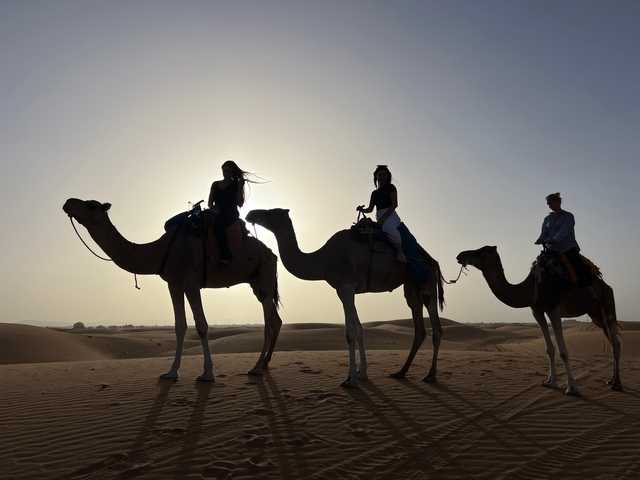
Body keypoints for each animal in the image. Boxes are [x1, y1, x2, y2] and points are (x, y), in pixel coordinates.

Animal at [63, 198, 282, 381]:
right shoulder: (174, 285)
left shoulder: (191, 283)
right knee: (276, 319)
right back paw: (264, 364)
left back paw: (256, 368)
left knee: (269, 323)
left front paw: (208, 373)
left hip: (265, 277)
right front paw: (171, 372)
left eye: (91, 205)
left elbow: (201, 326)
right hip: (256, 283)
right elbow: (180, 326)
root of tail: (272, 253)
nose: (68, 202)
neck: (160, 251)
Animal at [245, 208, 445, 388]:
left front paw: (351, 380)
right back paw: (401, 372)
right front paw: (361, 372)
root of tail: (431, 259)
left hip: (427, 279)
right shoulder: (343, 290)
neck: (324, 259)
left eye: (270, 213)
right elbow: (359, 329)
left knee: (435, 325)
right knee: (418, 322)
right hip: (411, 284)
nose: (250, 214)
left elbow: (350, 333)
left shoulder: (346, 285)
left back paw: (431, 375)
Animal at [456, 246, 621, 394]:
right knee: (612, 340)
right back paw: (611, 380)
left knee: (614, 340)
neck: (532, 286)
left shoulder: (553, 308)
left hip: (607, 300)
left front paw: (572, 387)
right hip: (594, 313)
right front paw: (550, 382)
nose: (460, 255)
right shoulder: (537, 311)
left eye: (479, 252)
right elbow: (549, 349)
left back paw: (617, 384)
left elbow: (563, 351)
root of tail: (604, 283)